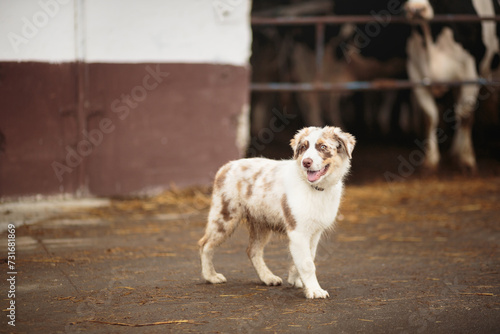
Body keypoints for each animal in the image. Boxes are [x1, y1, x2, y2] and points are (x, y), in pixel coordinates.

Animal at [197, 125, 354, 298]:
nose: (306, 162)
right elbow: (307, 264)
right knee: (205, 244)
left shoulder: (314, 232)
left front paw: (296, 280)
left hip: (261, 223)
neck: (315, 189)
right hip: (224, 217)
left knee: (253, 250)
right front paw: (314, 290)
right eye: (303, 148)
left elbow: (307, 258)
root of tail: (226, 166)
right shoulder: (298, 230)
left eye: (323, 147)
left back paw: (267, 277)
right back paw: (210, 276)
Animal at [404, 0, 498, 172]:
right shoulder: (415, 73)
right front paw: (430, 160)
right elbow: (429, 116)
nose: (416, 9)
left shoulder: (470, 74)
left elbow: (466, 116)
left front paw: (466, 159)